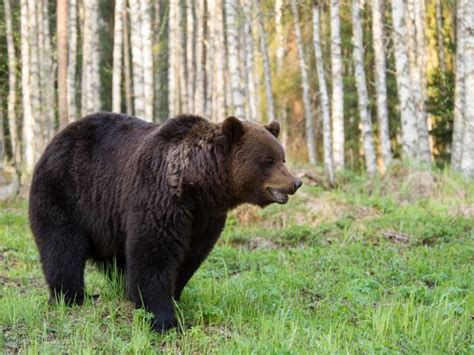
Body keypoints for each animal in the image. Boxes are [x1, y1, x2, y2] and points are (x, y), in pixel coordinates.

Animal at [28, 112, 300, 332]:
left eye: (282, 157)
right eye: (268, 160)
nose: (295, 182)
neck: (199, 185)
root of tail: (56, 138)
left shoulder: (204, 218)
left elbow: (191, 255)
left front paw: (174, 296)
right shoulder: (159, 197)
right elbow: (153, 254)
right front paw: (164, 320)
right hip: (64, 192)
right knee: (62, 248)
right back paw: (70, 297)